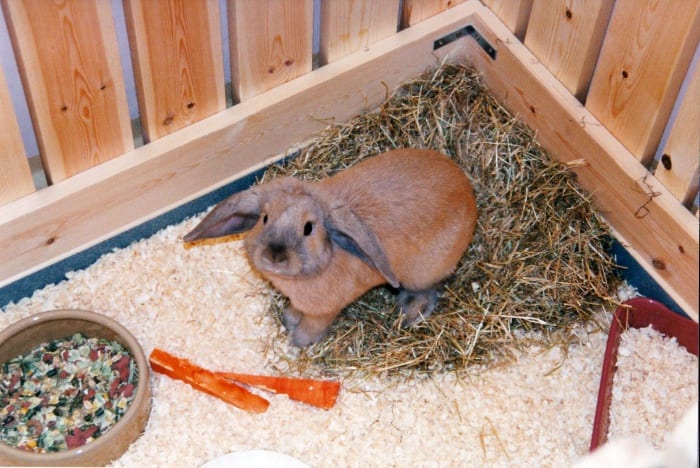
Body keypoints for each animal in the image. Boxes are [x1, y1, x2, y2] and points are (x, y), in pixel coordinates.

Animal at [183, 148, 478, 347]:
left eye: (308, 228)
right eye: (264, 218)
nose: (274, 256)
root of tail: (467, 190)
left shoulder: (322, 313)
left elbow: (311, 329)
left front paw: (297, 341)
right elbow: (295, 313)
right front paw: (288, 320)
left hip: (423, 274)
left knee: (431, 291)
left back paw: (410, 312)